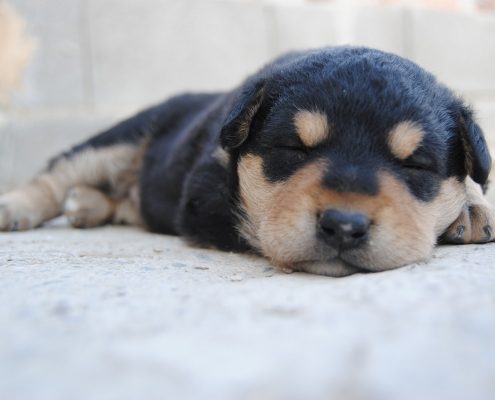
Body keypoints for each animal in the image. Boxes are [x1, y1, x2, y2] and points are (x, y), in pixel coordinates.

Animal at [0, 47, 495, 276]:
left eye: (415, 166)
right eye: (294, 150)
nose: (344, 226)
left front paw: (471, 207)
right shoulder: (206, 198)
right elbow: (259, 221)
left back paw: (85, 206)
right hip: (118, 138)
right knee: (57, 175)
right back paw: (17, 207)